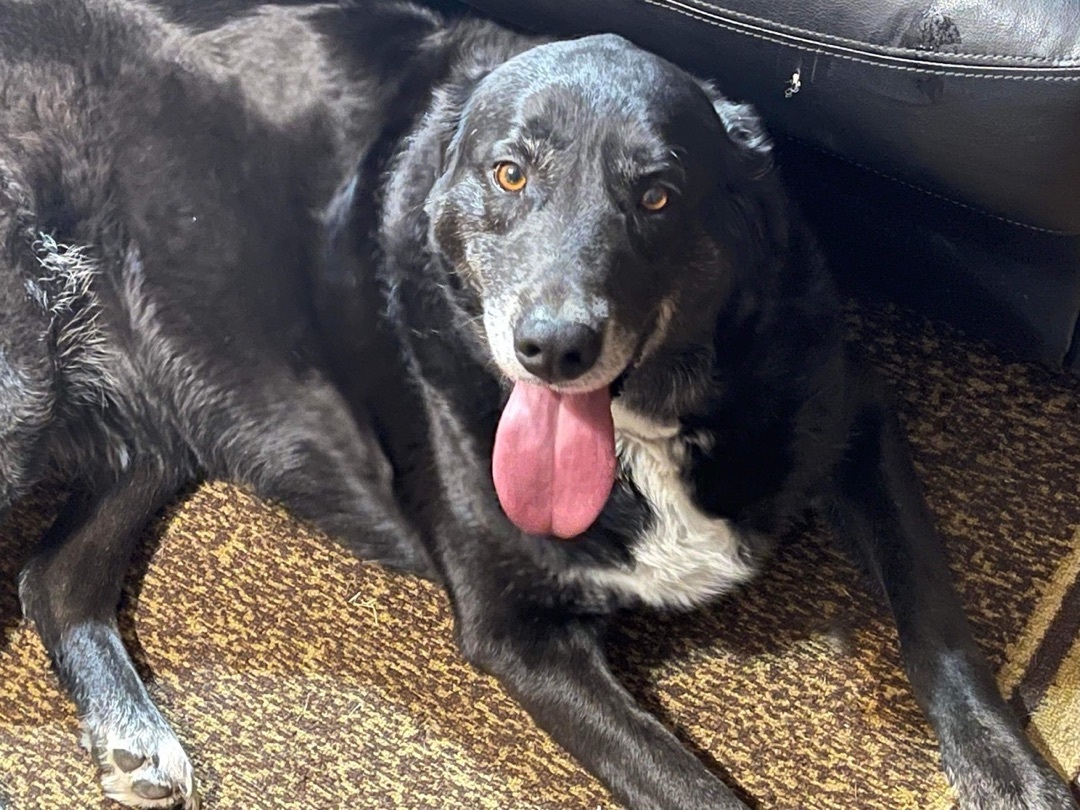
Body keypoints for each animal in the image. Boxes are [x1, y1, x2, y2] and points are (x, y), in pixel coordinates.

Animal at [0, 1, 1071, 810]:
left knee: (53, 578)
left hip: (175, 403)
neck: (646, 429)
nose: (554, 349)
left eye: (658, 194)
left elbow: (937, 625)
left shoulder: (856, 422)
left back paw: (134, 735)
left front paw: (1012, 775)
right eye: (509, 173)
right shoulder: (519, 633)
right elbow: (691, 787)